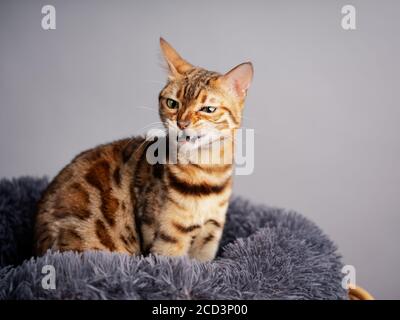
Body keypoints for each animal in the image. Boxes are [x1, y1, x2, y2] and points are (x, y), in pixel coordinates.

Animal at [34, 38, 253, 262]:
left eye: (208, 109)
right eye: (172, 103)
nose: (181, 124)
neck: (206, 176)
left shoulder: (209, 237)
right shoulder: (167, 240)